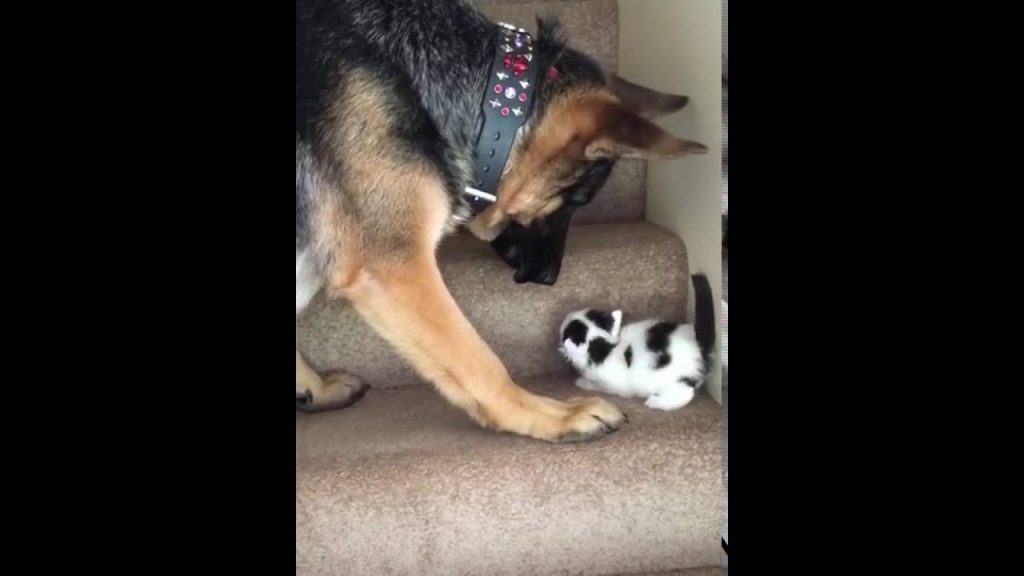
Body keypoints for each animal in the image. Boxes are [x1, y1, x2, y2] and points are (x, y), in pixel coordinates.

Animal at [561, 272, 712, 407]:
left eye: (566, 331)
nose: (566, 316)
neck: (604, 347)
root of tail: (697, 343)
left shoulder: (611, 384)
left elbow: (598, 386)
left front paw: (582, 382)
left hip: (673, 379)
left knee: (685, 394)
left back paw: (655, 402)